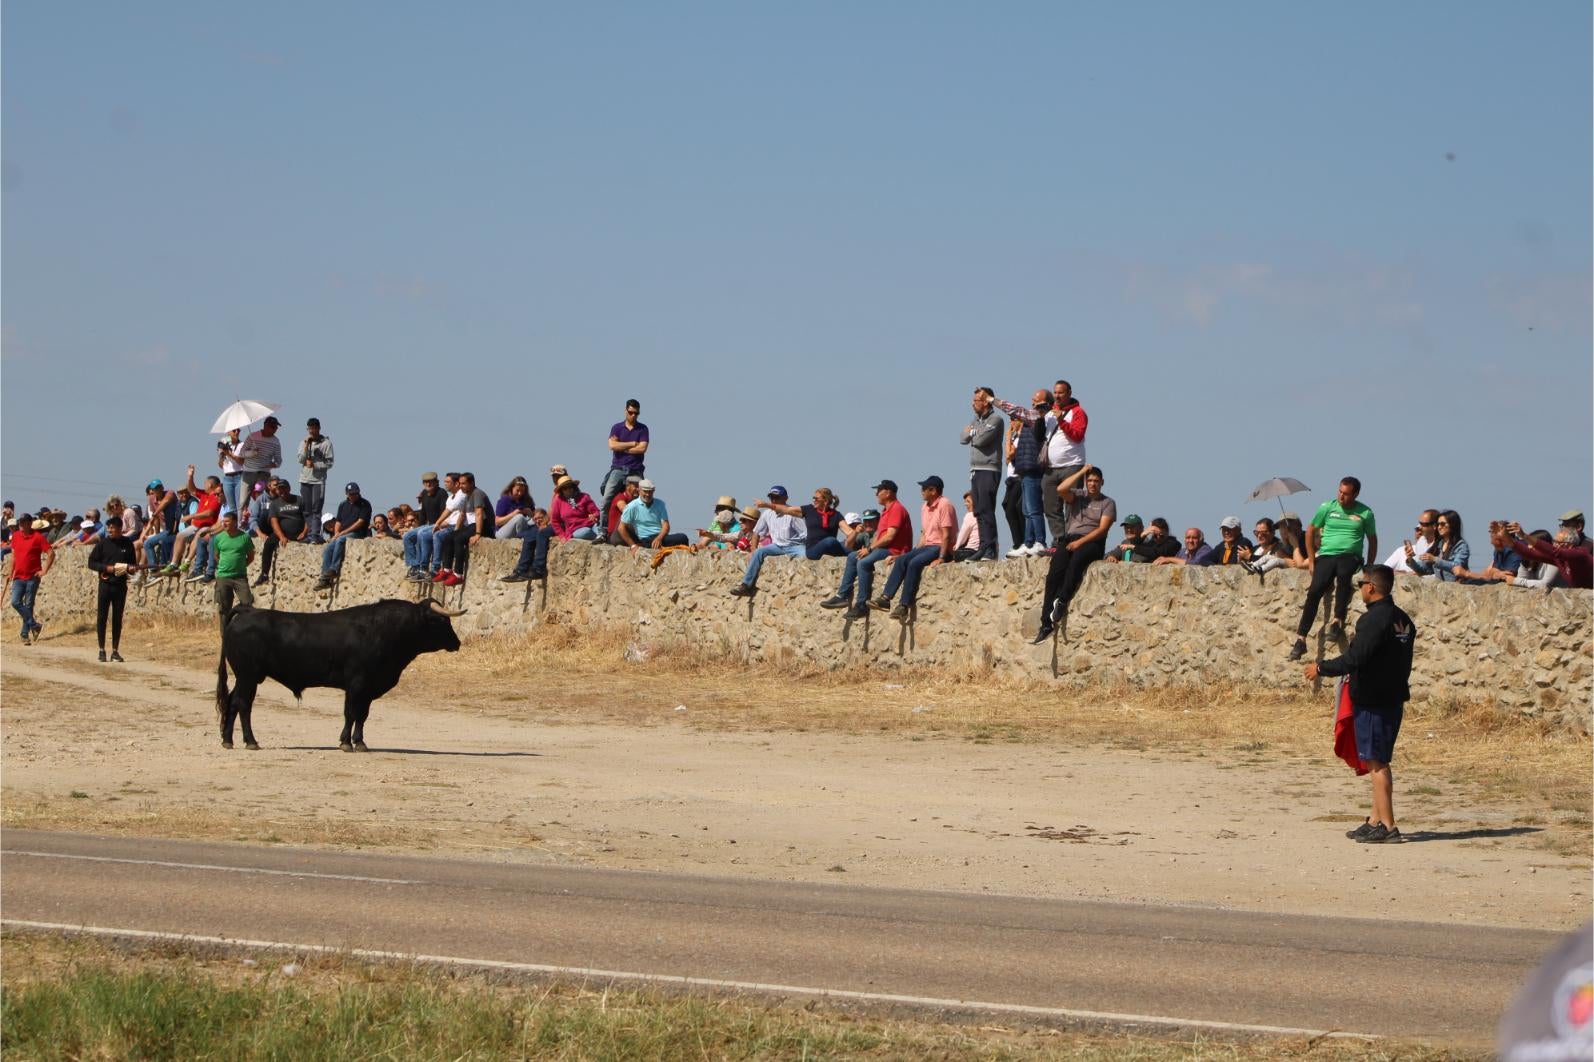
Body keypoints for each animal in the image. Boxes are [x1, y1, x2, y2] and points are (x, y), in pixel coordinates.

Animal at [215, 599, 462, 749]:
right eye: (442, 620)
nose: (457, 643)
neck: (385, 630)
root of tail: (248, 611)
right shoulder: (358, 684)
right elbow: (351, 713)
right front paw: (347, 743)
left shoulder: (367, 688)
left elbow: (362, 715)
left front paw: (359, 742)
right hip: (248, 676)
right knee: (243, 704)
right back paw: (251, 741)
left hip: (244, 677)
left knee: (232, 702)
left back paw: (228, 740)